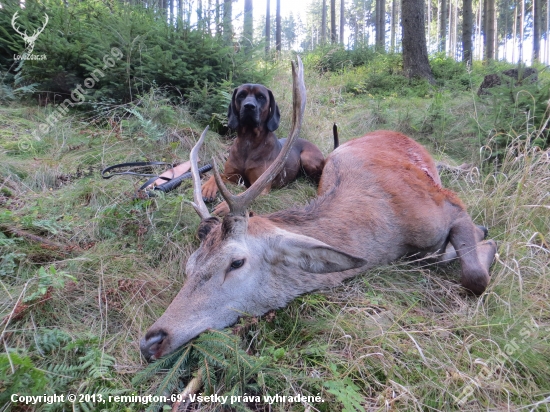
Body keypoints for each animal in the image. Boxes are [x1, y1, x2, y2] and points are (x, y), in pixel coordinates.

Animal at [202, 81, 324, 216]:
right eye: (241, 95)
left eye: (261, 97)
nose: (249, 106)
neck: (248, 141)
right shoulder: (232, 177)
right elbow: (217, 176)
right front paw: (207, 188)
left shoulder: (262, 186)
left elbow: (245, 195)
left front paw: (225, 206)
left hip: (307, 158)